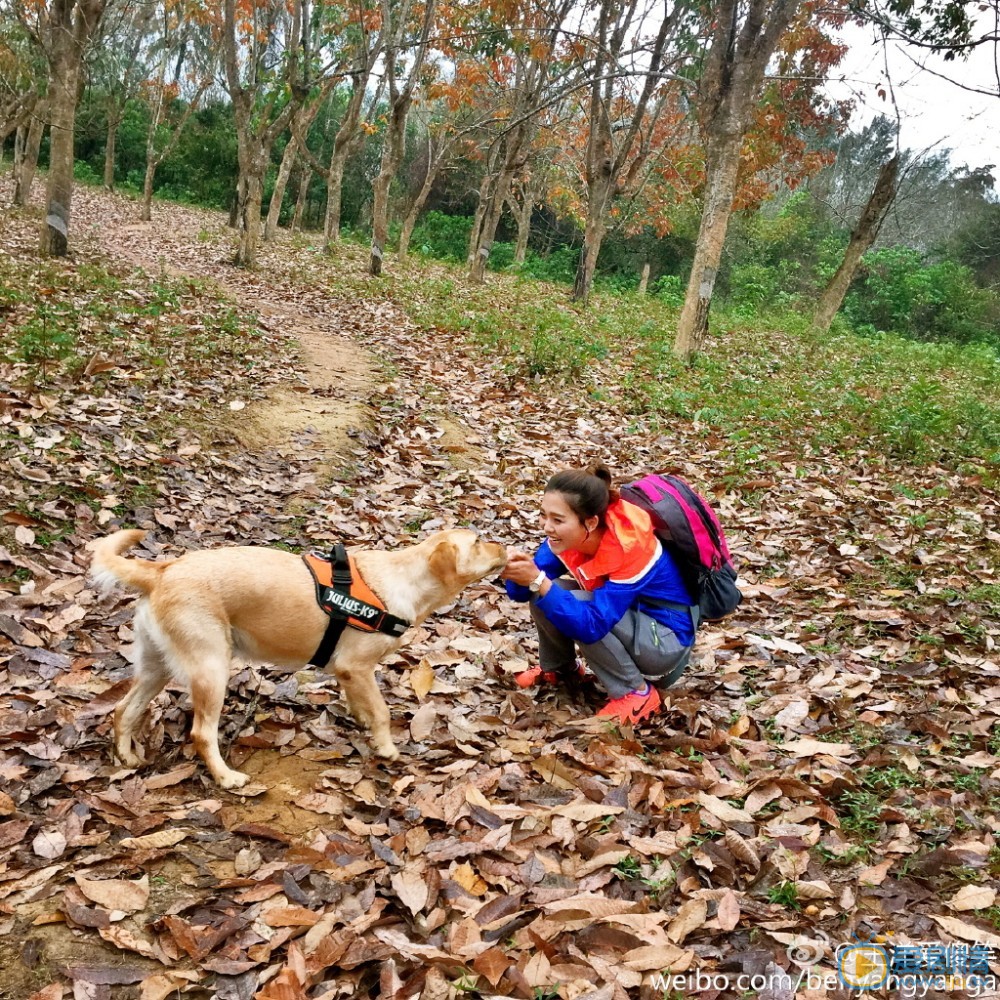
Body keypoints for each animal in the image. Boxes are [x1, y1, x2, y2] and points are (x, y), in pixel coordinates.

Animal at [87, 528, 508, 784]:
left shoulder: (348, 672)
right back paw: (226, 777)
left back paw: (126, 758)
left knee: (123, 710)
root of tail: (161, 570)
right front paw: (387, 747)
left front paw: (363, 724)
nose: (506, 546)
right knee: (201, 733)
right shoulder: (357, 666)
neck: (405, 581)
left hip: (155, 668)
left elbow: (362, 704)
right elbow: (383, 711)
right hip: (212, 668)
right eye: (478, 541)